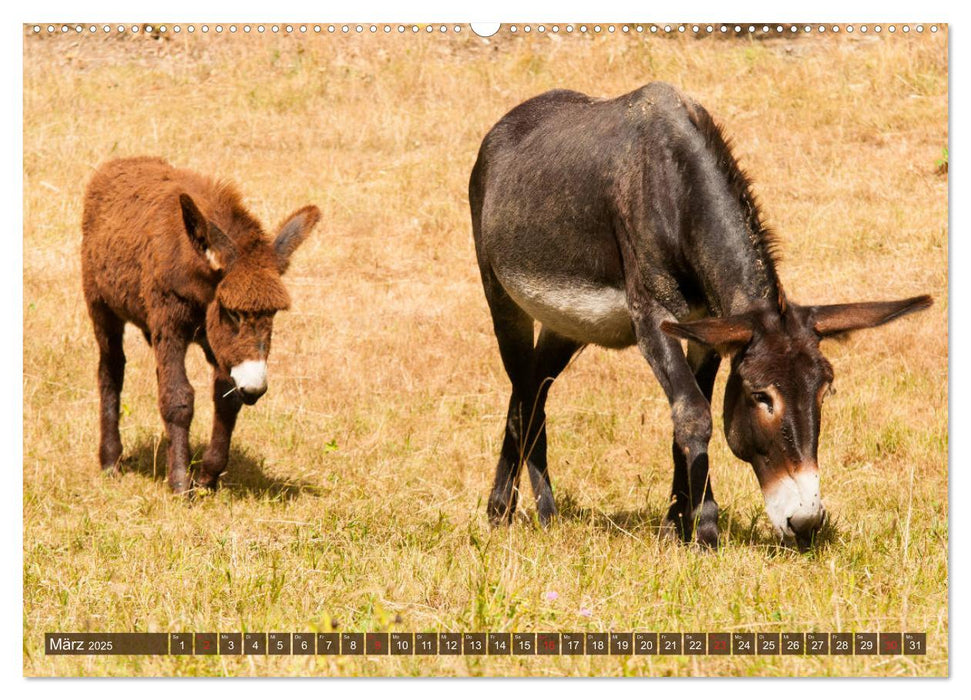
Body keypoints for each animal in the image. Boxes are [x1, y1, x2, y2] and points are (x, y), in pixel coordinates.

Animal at [83, 160, 318, 492]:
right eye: (232, 313)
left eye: (273, 313)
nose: (255, 388)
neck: (200, 279)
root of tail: (122, 162)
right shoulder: (170, 326)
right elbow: (177, 398)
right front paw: (182, 483)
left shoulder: (217, 343)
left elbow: (226, 398)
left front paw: (208, 475)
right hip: (101, 307)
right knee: (111, 368)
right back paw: (110, 460)